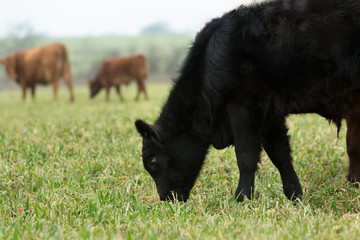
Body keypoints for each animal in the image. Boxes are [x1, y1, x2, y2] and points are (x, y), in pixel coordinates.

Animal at [134, 0, 360, 202]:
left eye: (152, 161)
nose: (165, 198)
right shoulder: (270, 112)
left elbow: (246, 156)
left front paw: (242, 198)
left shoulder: (241, 105)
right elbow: (279, 154)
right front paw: (294, 195)